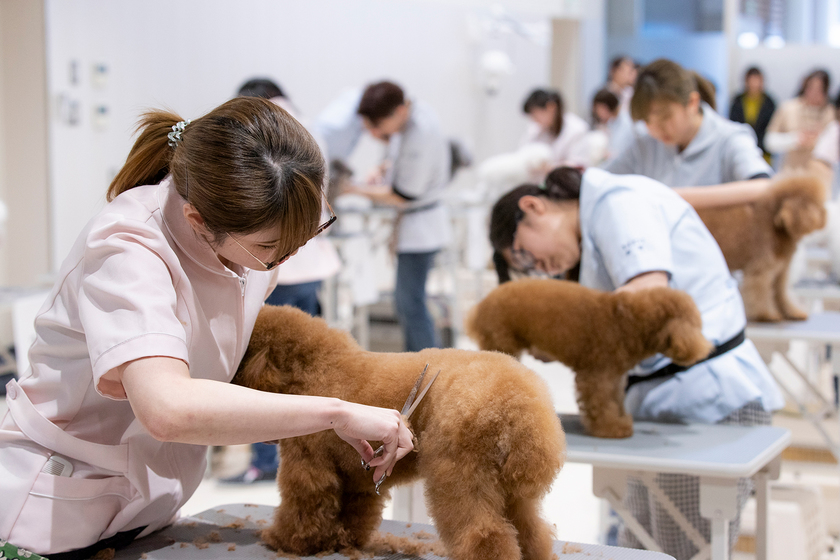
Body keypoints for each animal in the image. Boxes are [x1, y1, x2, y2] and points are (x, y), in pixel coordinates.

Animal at [232, 305, 565, 560]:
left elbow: (303, 508)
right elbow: (355, 513)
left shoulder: (308, 466)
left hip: (459, 476)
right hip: (508, 489)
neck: (312, 368)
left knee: (483, 534)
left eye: (240, 361)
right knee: (529, 530)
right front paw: (343, 541)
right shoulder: (358, 476)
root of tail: (519, 407)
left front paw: (286, 541)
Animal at [465, 278, 712, 438]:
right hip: (501, 343)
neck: (630, 322)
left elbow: (615, 400)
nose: (705, 347)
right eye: (697, 324)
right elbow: (600, 402)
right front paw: (610, 428)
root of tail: (479, 308)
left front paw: (621, 421)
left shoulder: (615, 377)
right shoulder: (597, 375)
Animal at [697, 174, 827, 322]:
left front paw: (792, 312)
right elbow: (760, 293)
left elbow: (781, 293)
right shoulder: (762, 268)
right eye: (816, 205)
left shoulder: (781, 270)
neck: (775, 224)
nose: (825, 214)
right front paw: (766, 314)